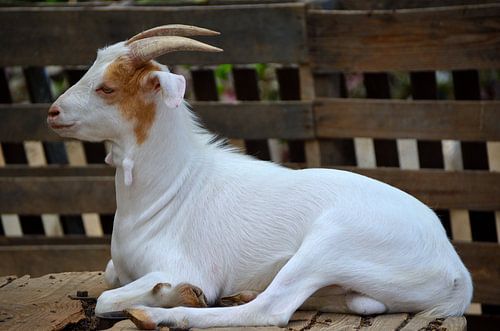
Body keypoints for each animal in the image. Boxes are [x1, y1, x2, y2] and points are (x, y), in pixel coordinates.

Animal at [47, 25, 472, 330]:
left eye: (107, 88)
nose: (53, 112)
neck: (171, 189)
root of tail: (456, 275)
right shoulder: (118, 269)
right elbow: (108, 278)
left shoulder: (185, 266)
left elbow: (107, 298)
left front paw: (175, 294)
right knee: (359, 301)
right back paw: (246, 294)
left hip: (330, 243)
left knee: (273, 309)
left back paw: (160, 314)